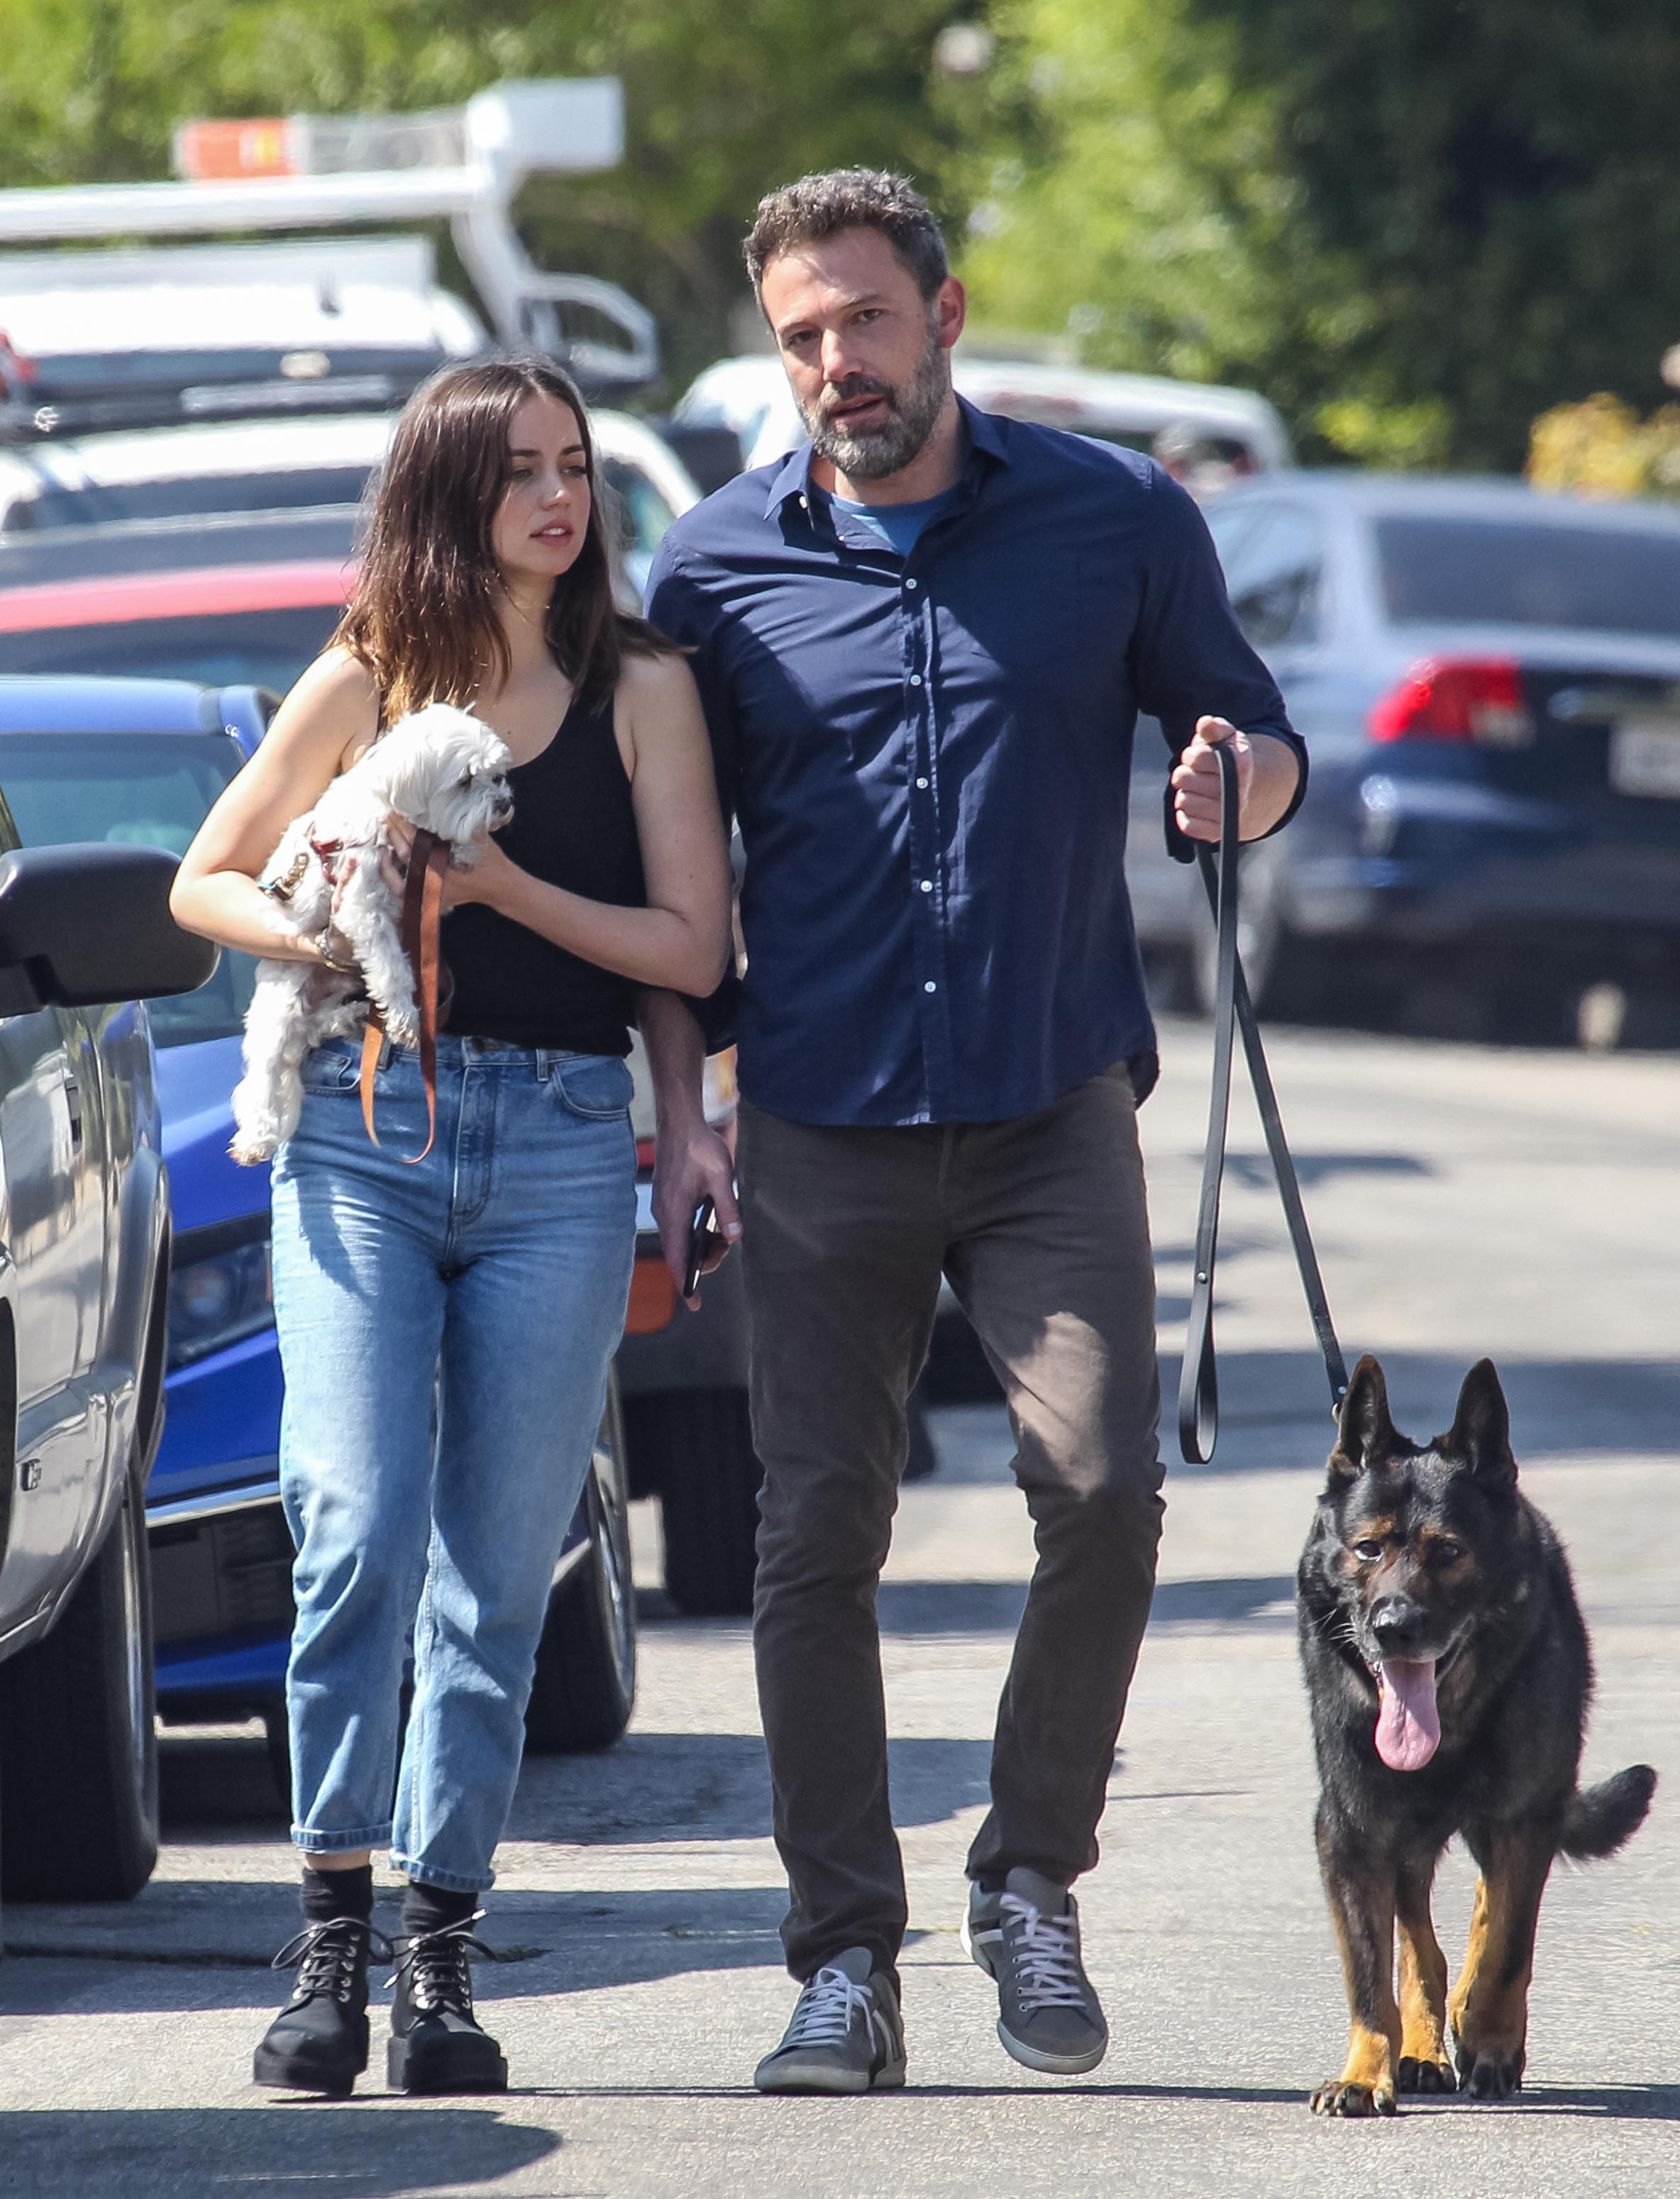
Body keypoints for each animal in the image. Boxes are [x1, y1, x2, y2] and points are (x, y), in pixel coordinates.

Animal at [227, 708, 512, 1170]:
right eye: (465, 781)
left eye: (498, 775)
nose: (504, 803)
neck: (390, 810)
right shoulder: (362, 904)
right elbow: (394, 970)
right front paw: (406, 1017)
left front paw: (464, 851)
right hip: (281, 1003)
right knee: (265, 1073)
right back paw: (257, 1136)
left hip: (339, 985)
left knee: (315, 1027)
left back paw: (352, 1017)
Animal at [1301, 1354, 1653, 2111]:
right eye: (1367, 1549)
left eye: (1448, 1552)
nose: (1394, 1627)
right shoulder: (1353, 1832)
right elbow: (1371, 1972)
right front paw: (1365, 2070)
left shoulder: (1524, 1818)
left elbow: (1505, 1947)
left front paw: (1491, 2043)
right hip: (1407, 1838)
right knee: (1419, 1939)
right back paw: (1422, 2045)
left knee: (1488, 1912)